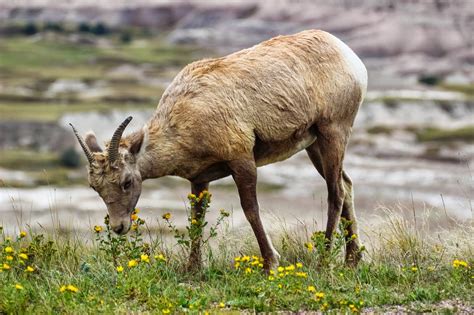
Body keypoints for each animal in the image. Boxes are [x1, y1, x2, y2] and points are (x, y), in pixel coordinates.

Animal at [70, 29, 366, 272]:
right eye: (96, 188)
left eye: (126, 182)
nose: (119, 227)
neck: (184, 119)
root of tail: (350, 57)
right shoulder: (200, 178)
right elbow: (196, 219)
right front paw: (192, 268)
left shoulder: (242, 159)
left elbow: (250, 210)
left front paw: (270, 264)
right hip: (314, 144)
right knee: (346, 185)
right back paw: (352, 261)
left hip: (333, 132)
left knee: (336, 192)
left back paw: (324, 261)